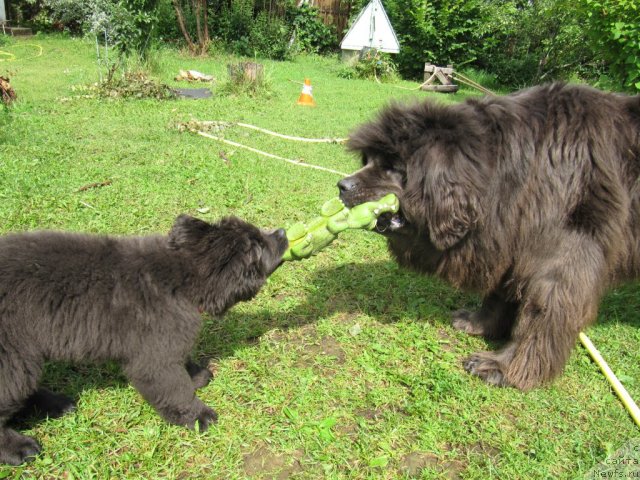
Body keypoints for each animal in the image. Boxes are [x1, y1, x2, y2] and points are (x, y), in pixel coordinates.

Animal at [0, 215, 288, 464]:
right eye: (259, 245)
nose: (283, 232)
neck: (181, 277)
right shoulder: (153, 354)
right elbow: (174, 388)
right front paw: (198, 416)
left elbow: (182, 361)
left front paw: (196, 375)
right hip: (12, 354)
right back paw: (19, 447)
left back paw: (56, 405)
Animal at [340, 81, 640, 390]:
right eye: (368, 159)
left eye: (393, 165)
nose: (342, 185)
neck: (515, 175)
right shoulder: (510, 239)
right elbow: (500, 293)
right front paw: (478, 323)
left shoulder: (563, 257)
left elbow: (542, 312)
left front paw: (506, 367)